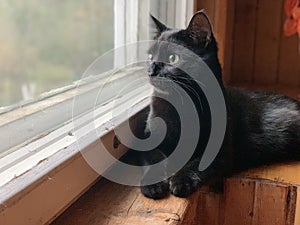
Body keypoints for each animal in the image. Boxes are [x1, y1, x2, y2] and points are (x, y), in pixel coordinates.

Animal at [123, 11, 298, 200]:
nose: (151, 70)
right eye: (150, 57)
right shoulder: (147, 138)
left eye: (173, 58)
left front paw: (180, 181)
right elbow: (154, 157)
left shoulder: (220, 152)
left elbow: (197, 164)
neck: (182, 104)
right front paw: (153, 185)